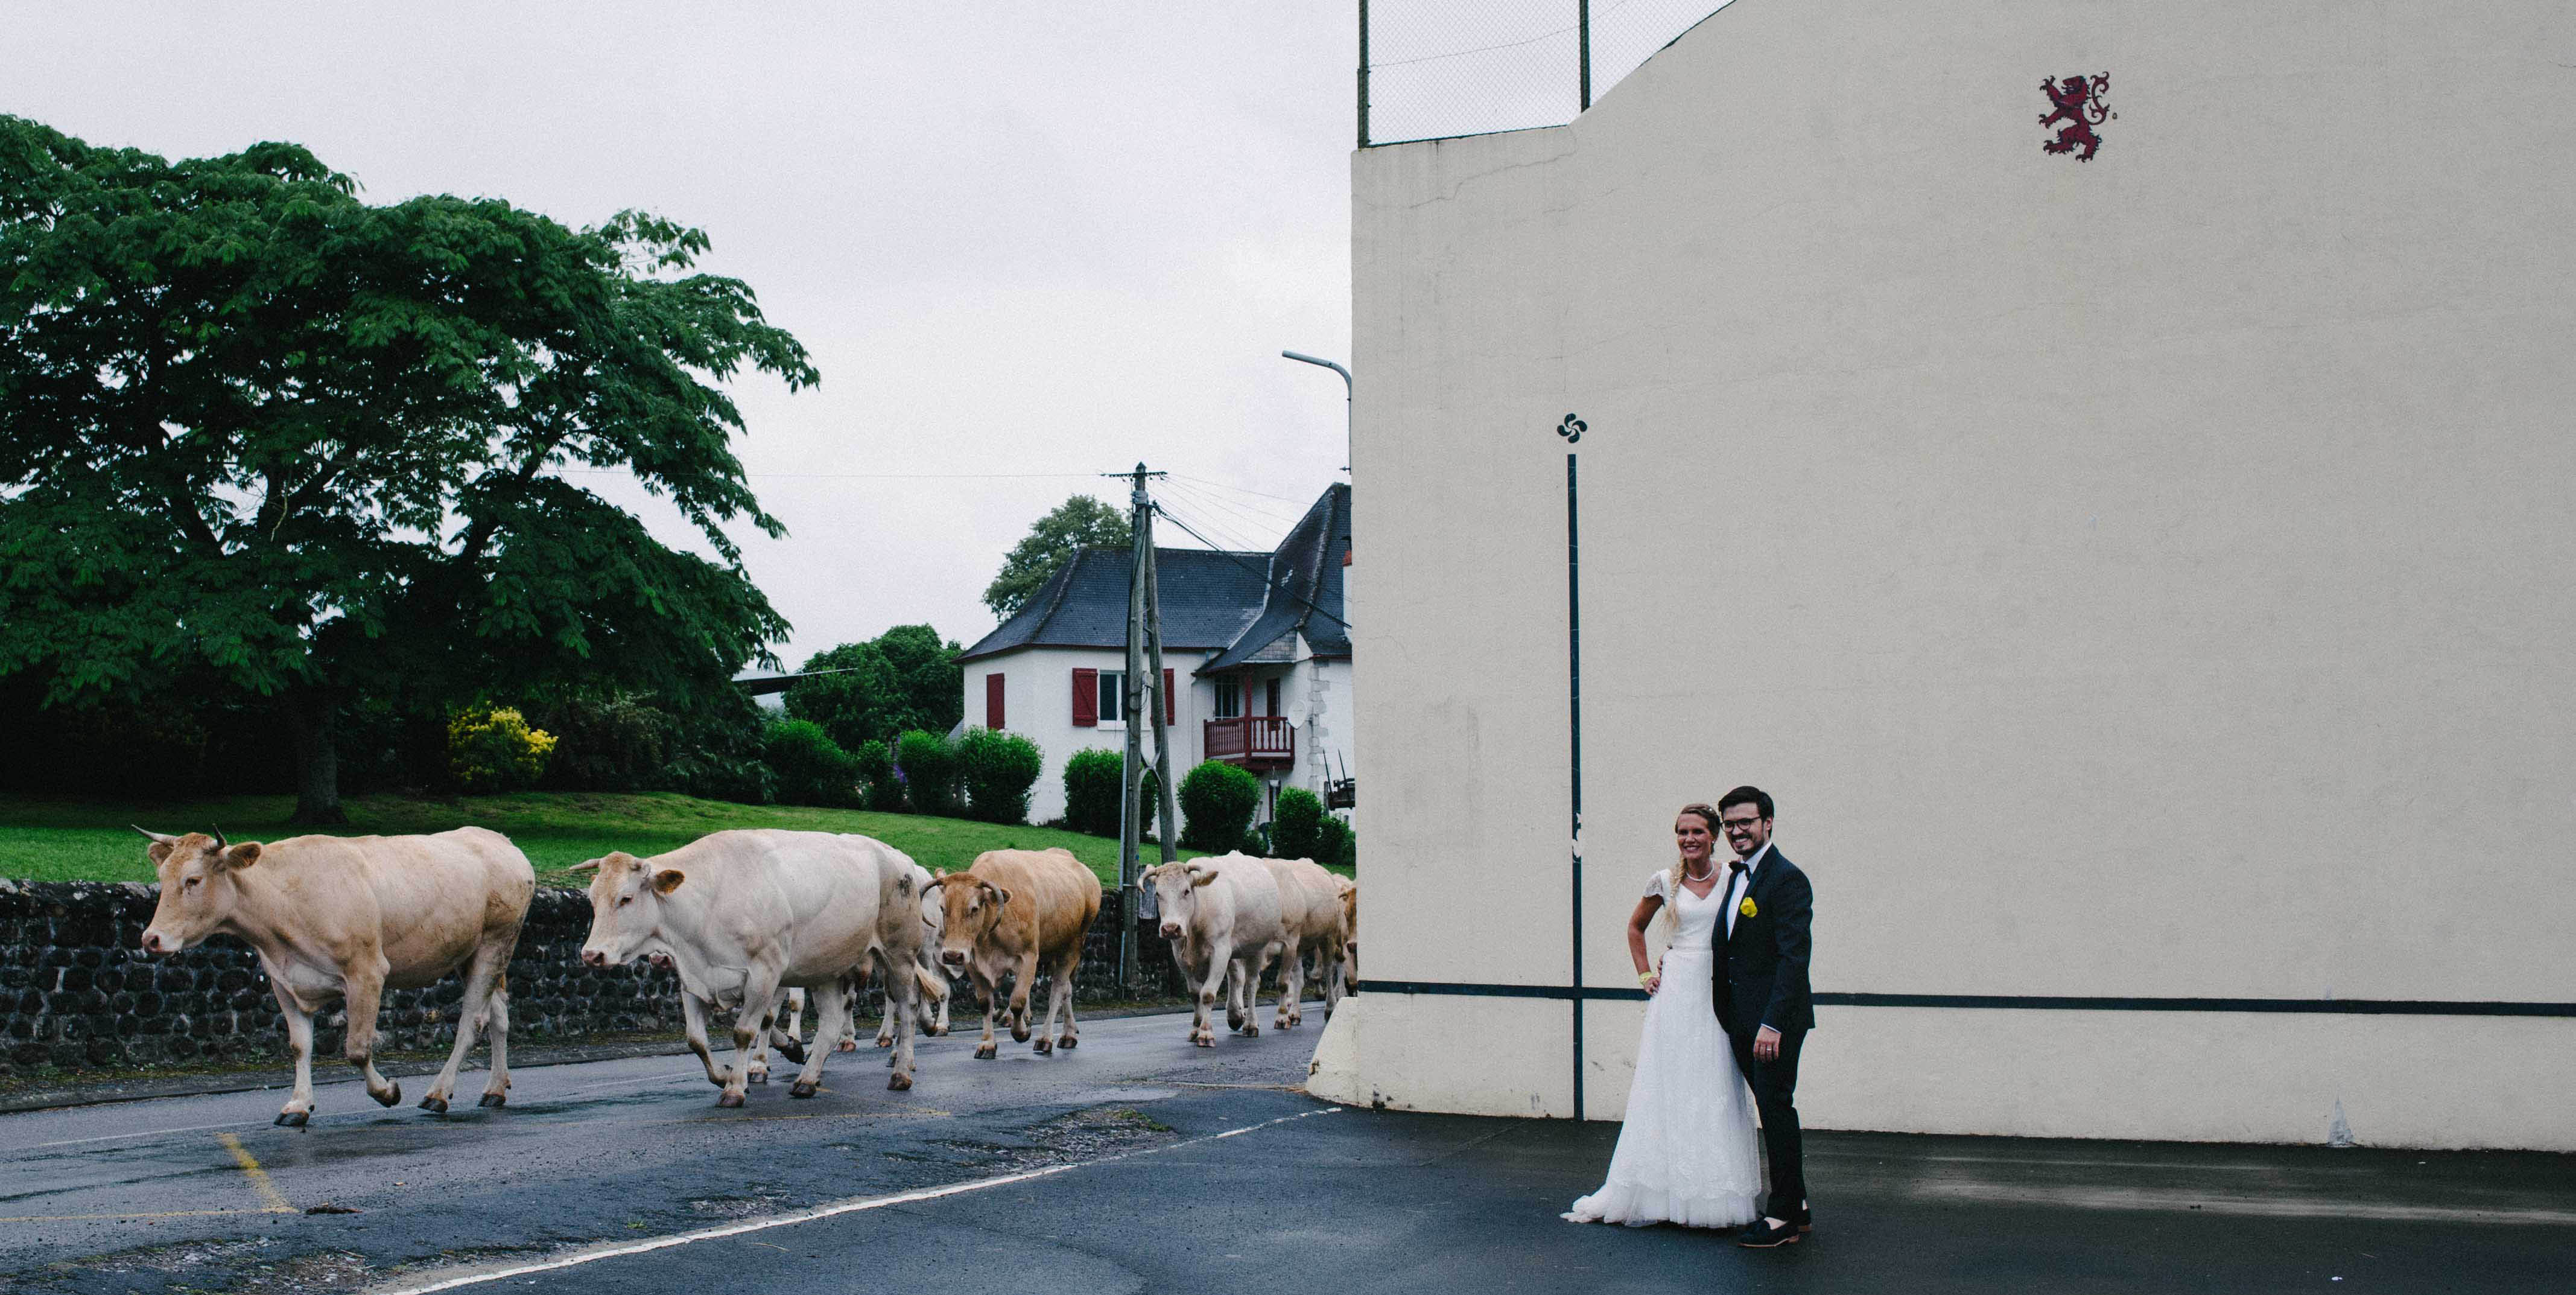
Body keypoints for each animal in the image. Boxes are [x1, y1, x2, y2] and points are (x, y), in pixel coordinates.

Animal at [138, 829, 536, 1127]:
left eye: (193, 880)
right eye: (161, 878)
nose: (150, 939)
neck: (284, 900)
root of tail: (501, 841)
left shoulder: (367, 972)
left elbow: (357, 1049)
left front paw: (387, 1092)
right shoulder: (284, 981)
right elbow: (300, 1046)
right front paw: (298, 1106)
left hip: (496, 942)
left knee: (473, 1021)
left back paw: (438, 1093)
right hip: (472, 953)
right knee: (499, 1014)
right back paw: (495, 1089)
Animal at [582, 834, 937, 1102]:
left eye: (626, 898)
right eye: (592, 900)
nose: (591, 955)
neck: (709, 901)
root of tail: (898, 858)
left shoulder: (765, 973)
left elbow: (745, 1031)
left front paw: (736, 1088)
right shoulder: (693, 977)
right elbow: (696, 1040)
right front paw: (725, 1074)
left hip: (900, 954)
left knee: (906, 1007)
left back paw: (901, 1071)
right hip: (826, 968)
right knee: (832, 1023)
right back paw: (807, 1079)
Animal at [932, 849, 1102, 1066]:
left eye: (974, 909)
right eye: (942, 908)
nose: (952, 955)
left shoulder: (1029, 956)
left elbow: (1018, 1001)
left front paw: (1021, 1032)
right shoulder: (972, 962)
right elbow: (985, 1003)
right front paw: (987, 1044)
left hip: (1073, 946)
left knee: (1058, 990)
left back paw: (1046, 1038)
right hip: (1053, 951)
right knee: (1067, 989)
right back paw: (1068, 1033)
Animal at [1143, 854, 1283, 1050]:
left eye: (1186, 891)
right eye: (1157, 894)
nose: (1170, 928)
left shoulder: (1220, 952)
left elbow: (1208, 994)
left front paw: (1206, 1033)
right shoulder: (1180, 956)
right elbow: (1195, 995)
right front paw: (1196, 1029)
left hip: (1257, 947)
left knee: (1252, 984)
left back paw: (1251, 1024)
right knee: (1236, 978)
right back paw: (1235, 1015)